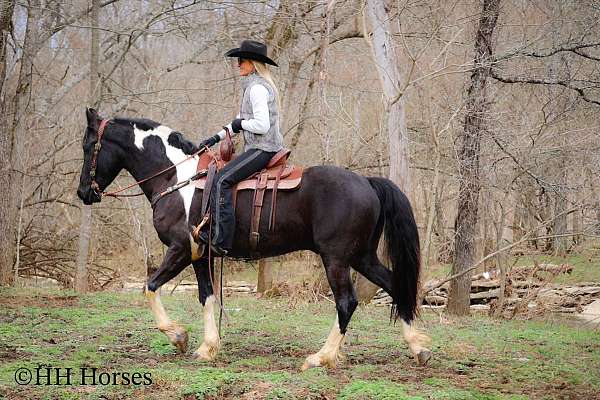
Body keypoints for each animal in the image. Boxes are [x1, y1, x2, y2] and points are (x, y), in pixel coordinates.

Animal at [76, 108, 432, 368]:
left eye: (87, 146)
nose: (83, 193)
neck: (176, 177)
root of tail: (367, 182)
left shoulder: (180, 250)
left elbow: (150, 287)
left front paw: (178, 336)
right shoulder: (200, 256)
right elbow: (207, 297)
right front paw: (208, 347)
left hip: (337, 259)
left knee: (347, 302)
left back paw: (321, 357)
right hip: (362, 257)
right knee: (395, 284)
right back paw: (417, 347)